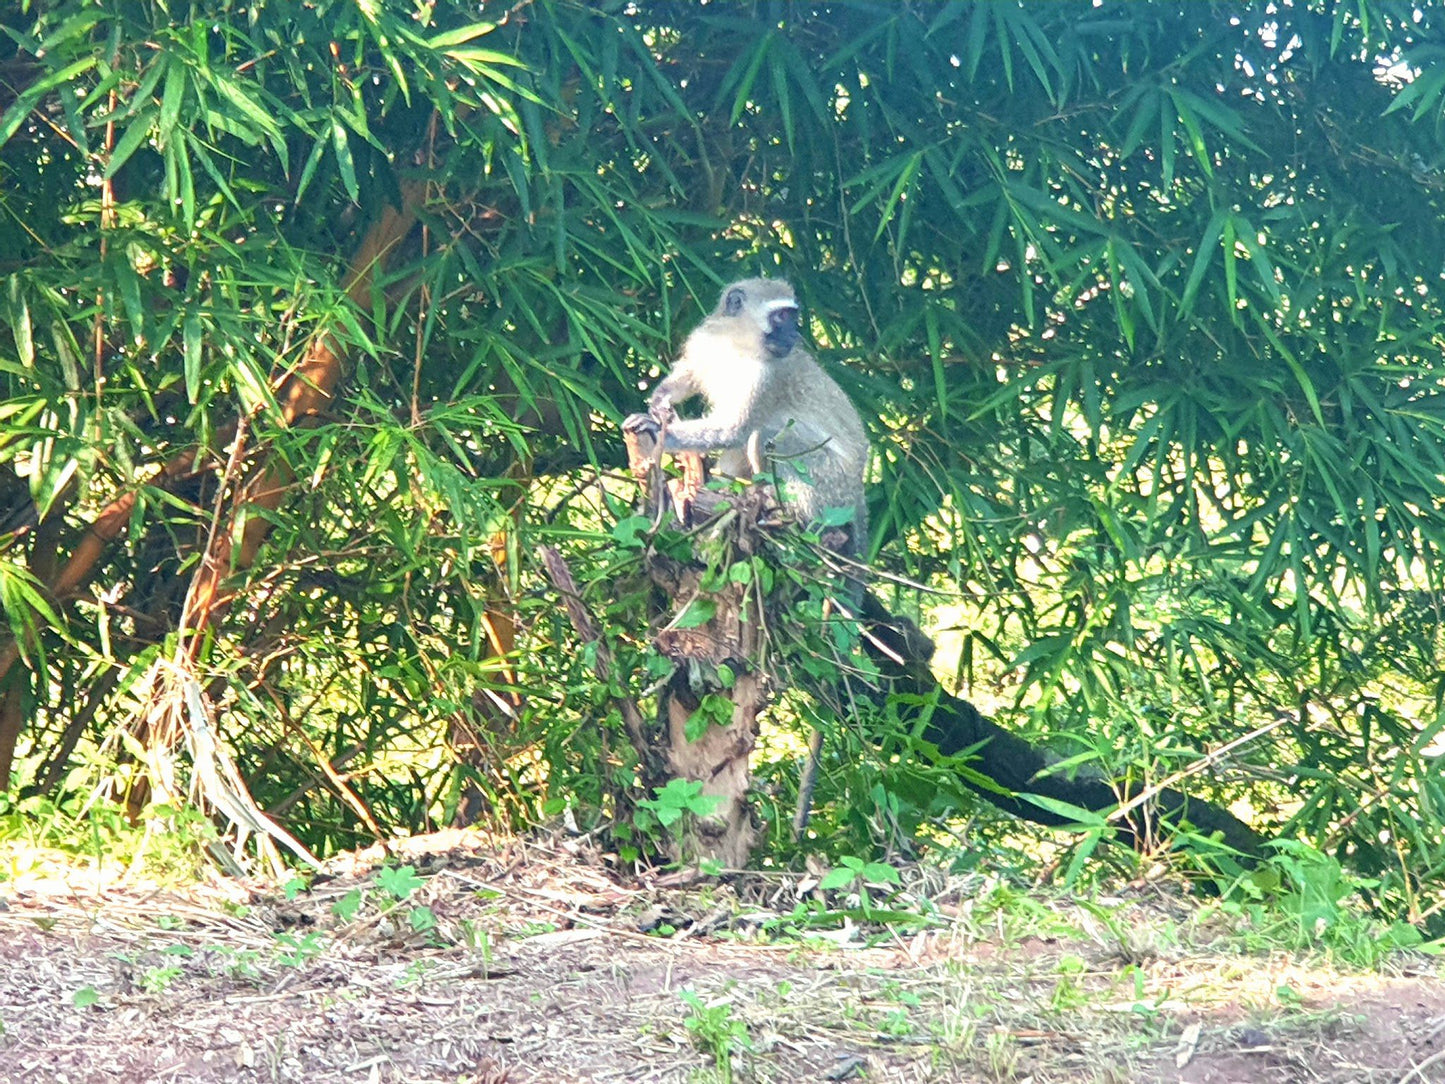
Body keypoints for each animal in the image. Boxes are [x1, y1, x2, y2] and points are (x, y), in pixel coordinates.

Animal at [624, 280, 867, 555]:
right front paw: (660, 400)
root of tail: (857, 489)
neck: (738, 345)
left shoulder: (767, 378)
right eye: (782, 317)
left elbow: (732, 431)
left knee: (766, 437)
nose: (794, 336)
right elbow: (689, 374)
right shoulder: (705, 338)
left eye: (792, 317)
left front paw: (657, 428)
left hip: (829, 484)